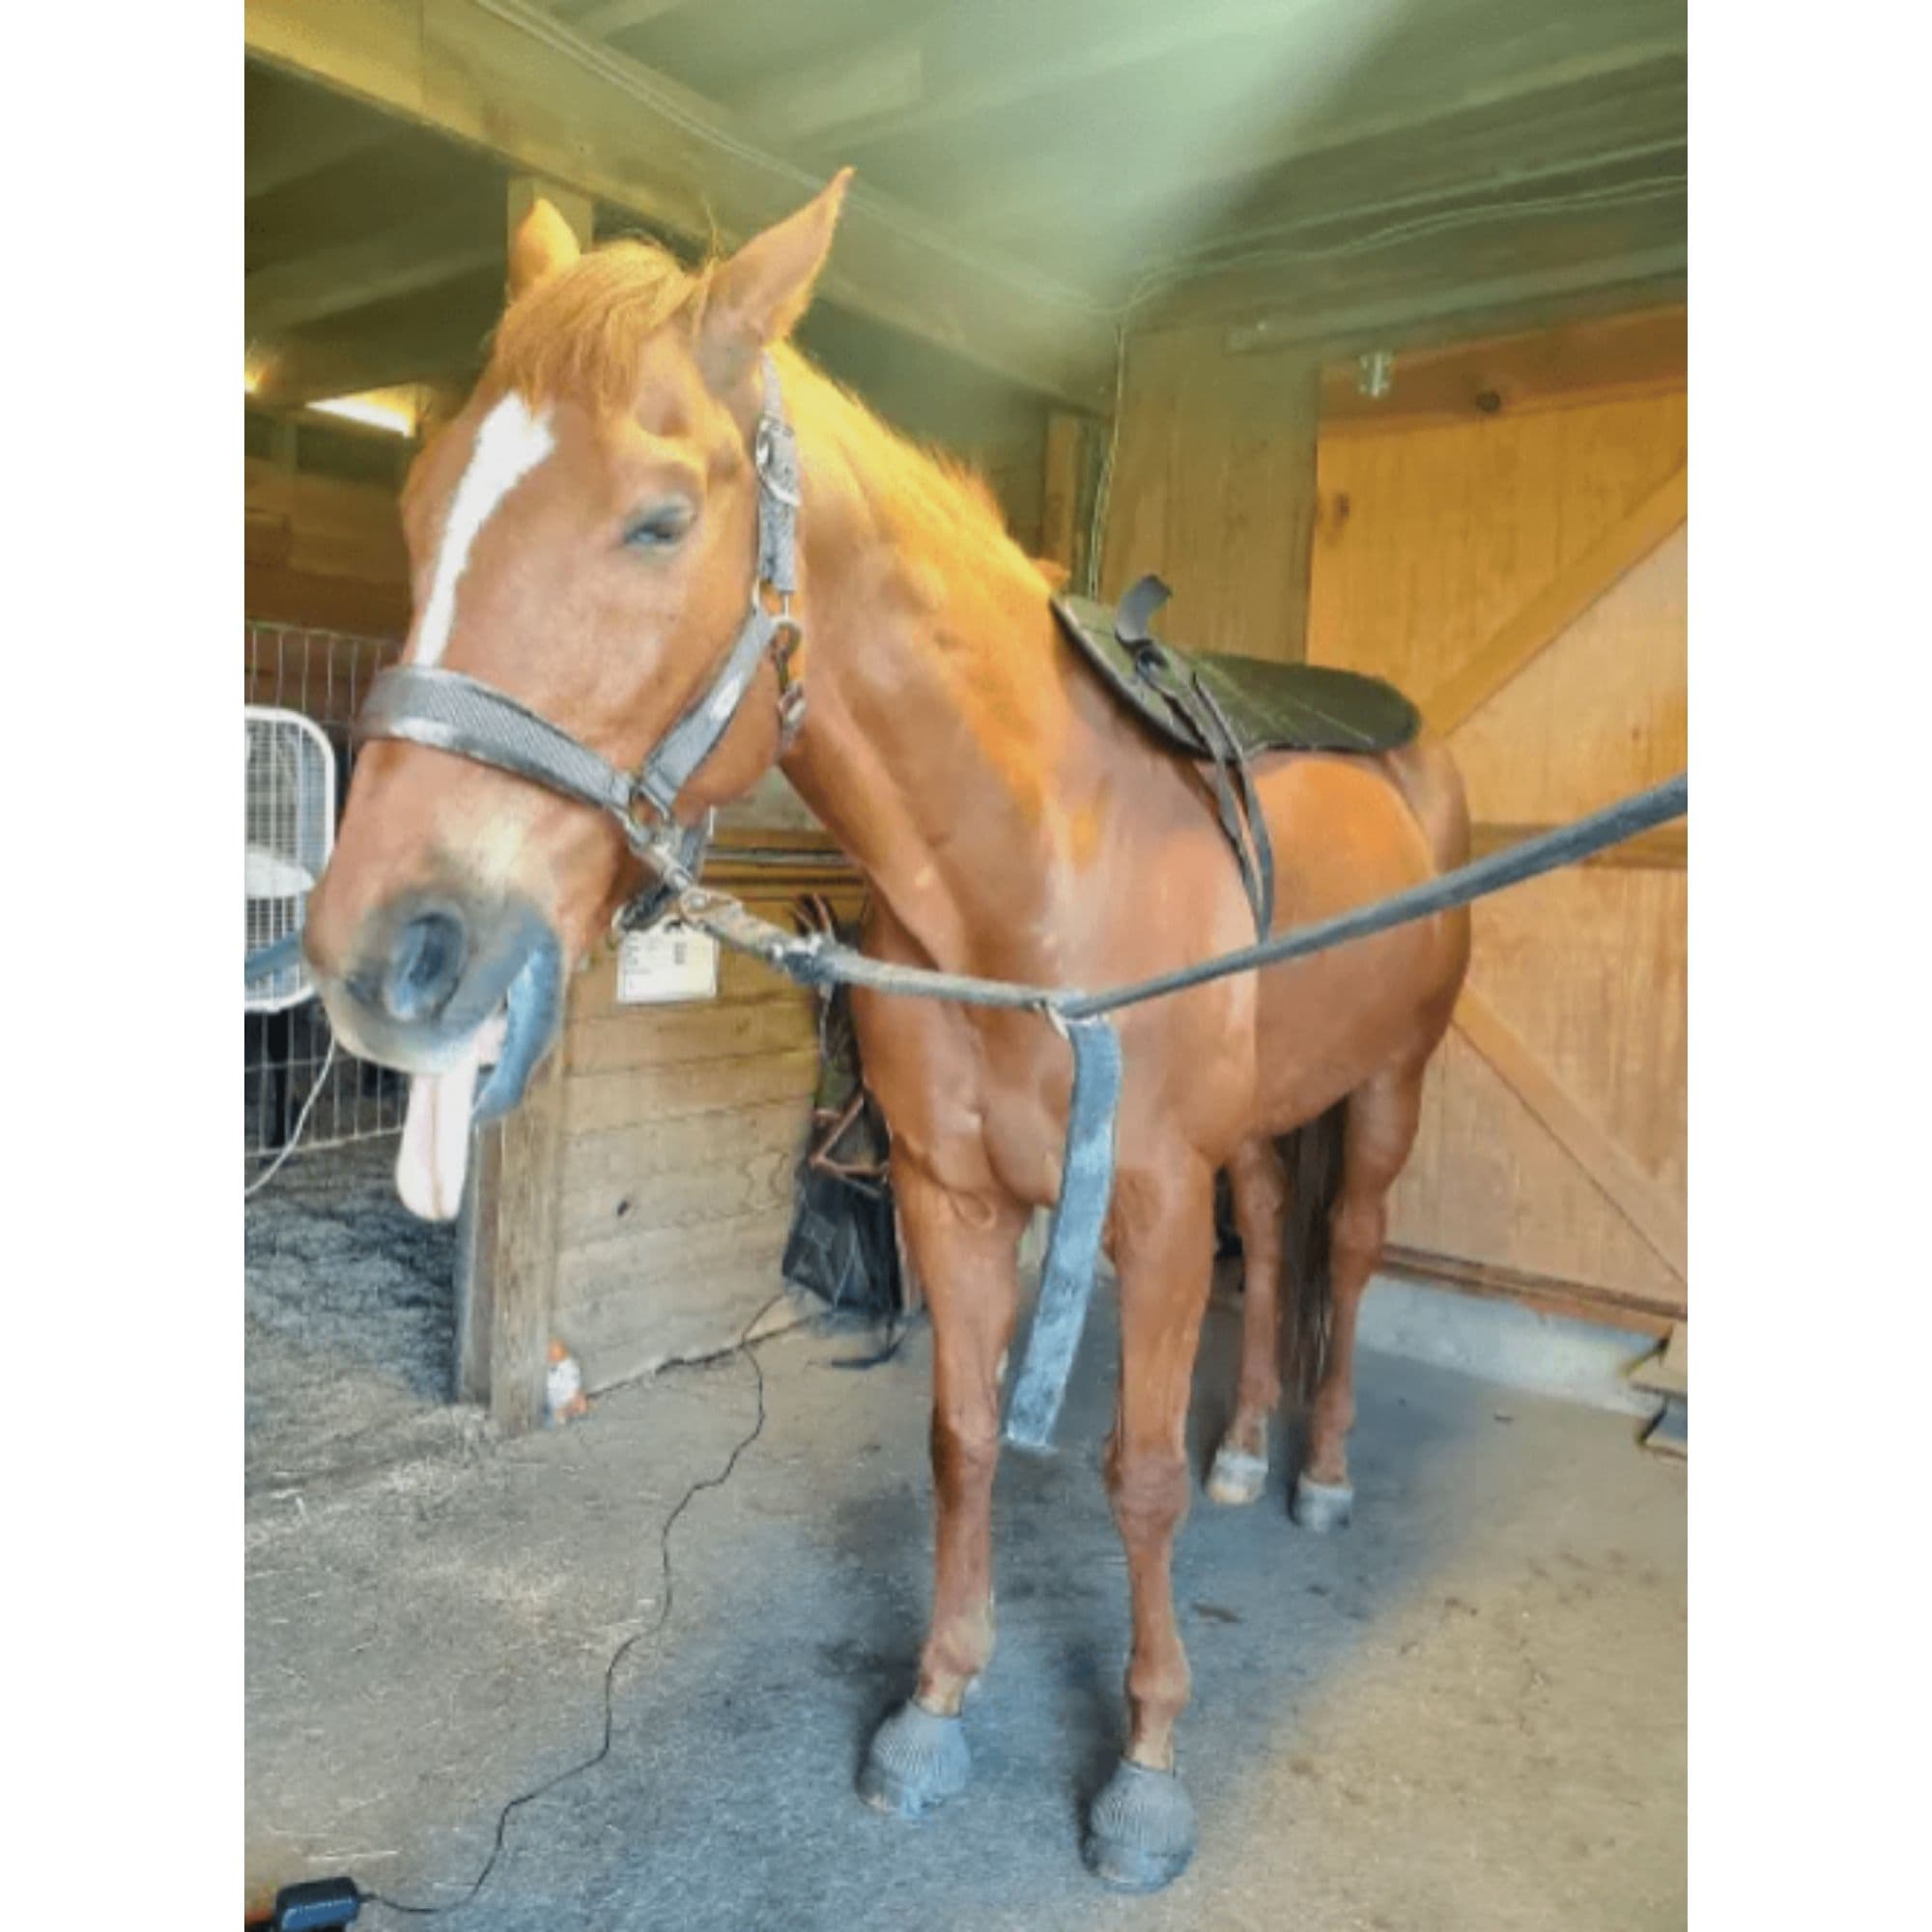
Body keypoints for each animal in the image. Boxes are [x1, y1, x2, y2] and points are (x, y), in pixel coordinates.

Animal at [303, 172, 1471, 1892]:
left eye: (661, 520)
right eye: (420, 505)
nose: (380, 952)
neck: (1036, 873)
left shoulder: (1149, 1204)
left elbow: (1133, 1479)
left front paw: (1146, 1767)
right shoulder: (947, 1193)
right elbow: (965, 1439)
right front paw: (935, 1708)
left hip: (1389, 1091)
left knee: (1351, 1247)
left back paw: (1316, 1473)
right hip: (1259, 1131)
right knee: (1275, 1236)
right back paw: (1252, 1447)